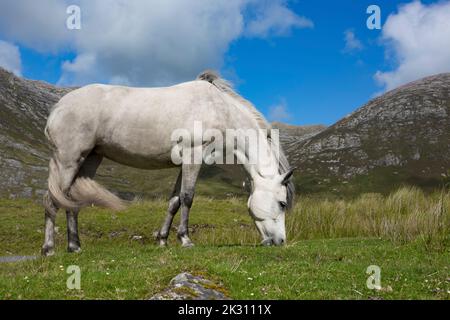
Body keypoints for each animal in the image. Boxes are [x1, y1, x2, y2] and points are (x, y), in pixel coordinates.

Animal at [41, 70, 296, 255]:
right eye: (282, 203)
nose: (280, 241)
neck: (219, 108)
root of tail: (57, 108)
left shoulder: (185, 162)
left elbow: (174, 201)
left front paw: (163, 240)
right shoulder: (194, 156)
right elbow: (187, 197)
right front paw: (185, 239)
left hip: (89, 160)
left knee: (71, 199)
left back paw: (75, 246)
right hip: (69, 160)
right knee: (53, 199)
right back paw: (49, 249)